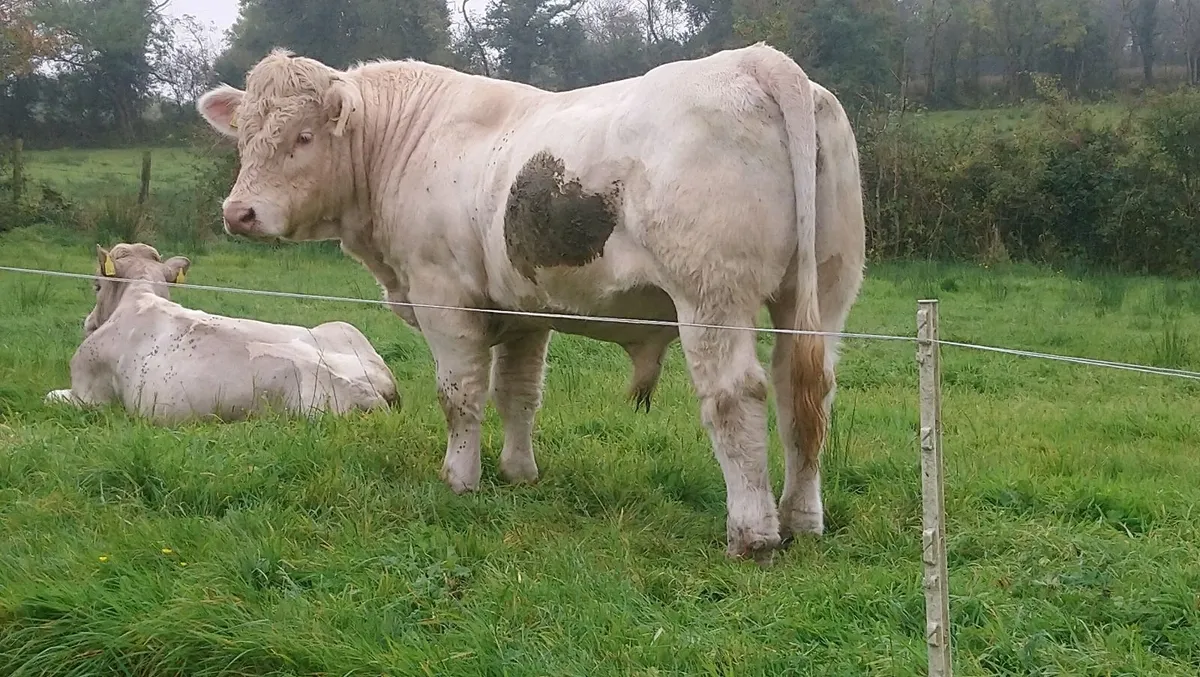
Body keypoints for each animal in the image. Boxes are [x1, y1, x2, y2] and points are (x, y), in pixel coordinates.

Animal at [45, 242, 400, 425]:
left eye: (96, 284)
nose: (88, 323)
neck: (140, 295)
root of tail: (371, 388)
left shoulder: (90, 395)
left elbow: (49, 397)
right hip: (342, 325)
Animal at [196, 42, 866, 562]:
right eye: (246, 137)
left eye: (304, 136)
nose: (239, 212)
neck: (405, 142)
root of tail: (757, 60)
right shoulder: (523, 311)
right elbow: (518, 393)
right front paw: (519, 474)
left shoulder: (444, 298)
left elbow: (460, 396)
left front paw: (459, 480)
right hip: (825, 292)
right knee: (804, 392)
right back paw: (801, 520)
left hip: (711, 297)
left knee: (736, 398)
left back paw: (753, 535)